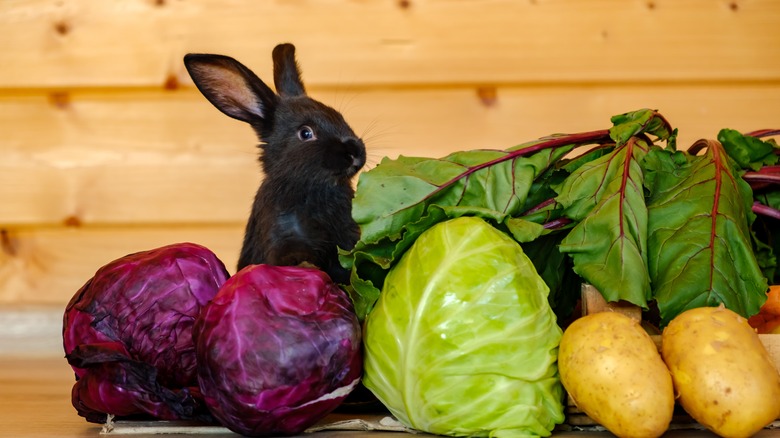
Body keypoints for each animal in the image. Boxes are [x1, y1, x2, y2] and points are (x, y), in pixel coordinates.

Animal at [184, 43, 366, 284]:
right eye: (305, 133)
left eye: (339, 117)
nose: (355, 153)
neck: (312, 191)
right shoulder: (283, 238)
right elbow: (294, 258)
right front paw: (307, 268)